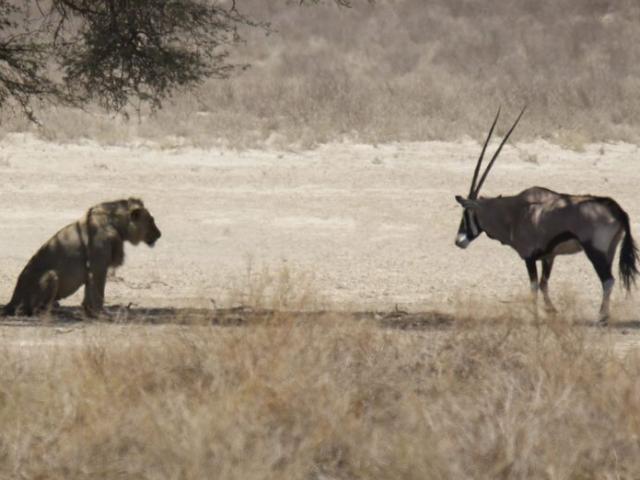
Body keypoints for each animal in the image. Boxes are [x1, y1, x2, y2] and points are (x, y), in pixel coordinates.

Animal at [3, 197, 162, 316]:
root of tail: (12, 300)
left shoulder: (91, 269)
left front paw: (88, 312)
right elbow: (99, 293)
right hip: (51, 275)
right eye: (151, 220)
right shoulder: (99, 266)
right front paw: (102, 314)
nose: (160, 234)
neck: (116, 225)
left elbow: (89, 293)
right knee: (30, 310)